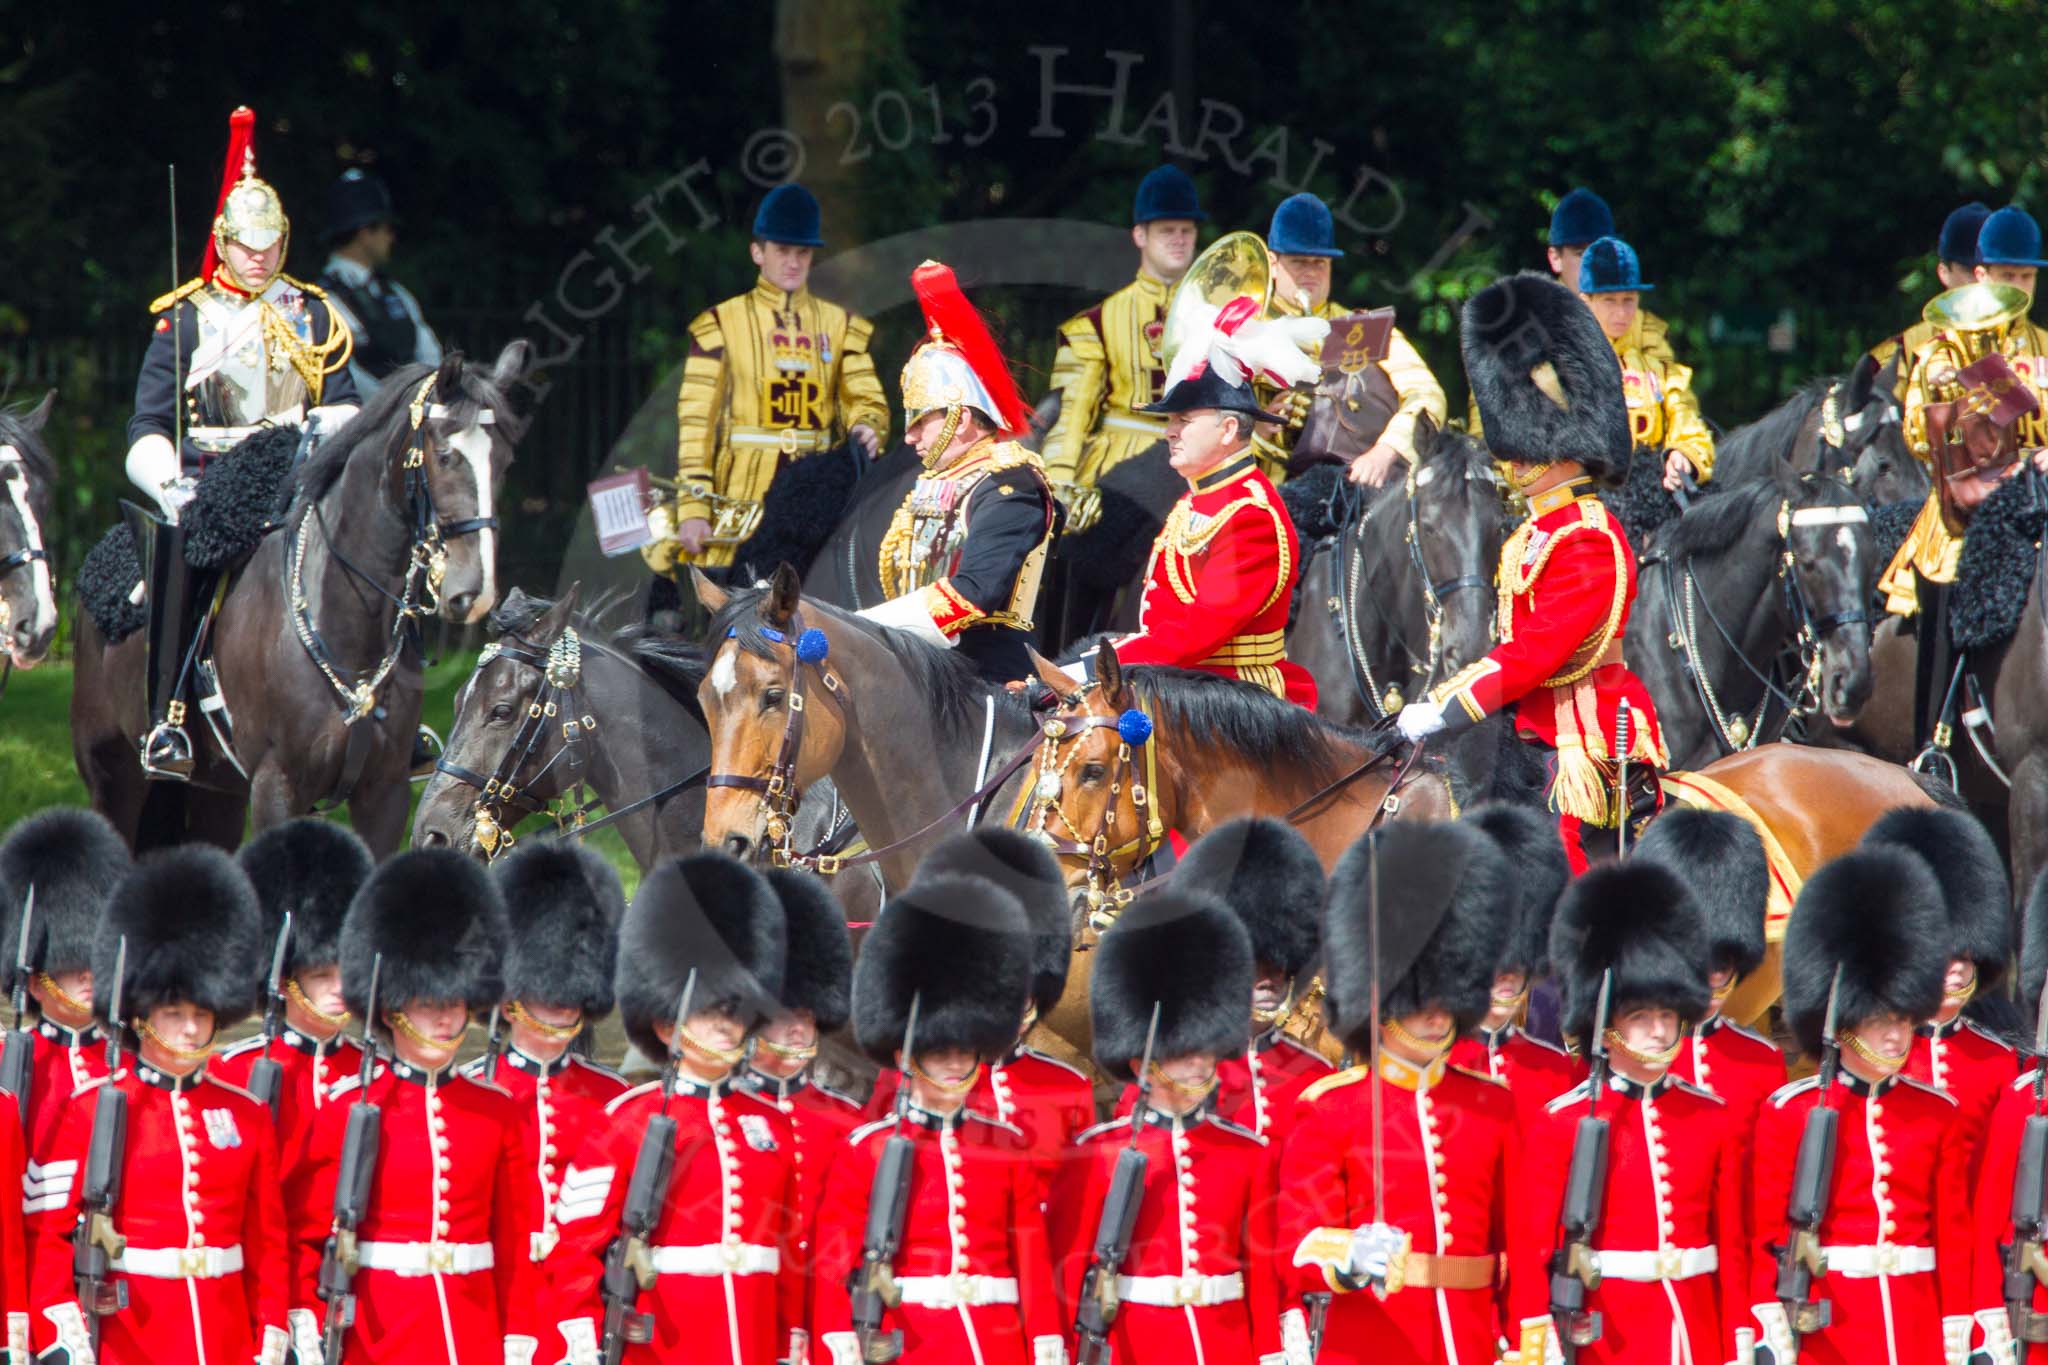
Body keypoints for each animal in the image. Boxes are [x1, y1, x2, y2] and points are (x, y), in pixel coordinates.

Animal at [74, 343, 528, 855]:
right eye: (445, 454)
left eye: (504, 461)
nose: (474, 592)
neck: (345, 622)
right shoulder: (278, 787)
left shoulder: (384, 796)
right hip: (113, 775)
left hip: (217, 793)